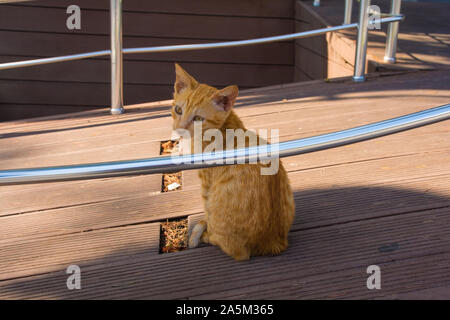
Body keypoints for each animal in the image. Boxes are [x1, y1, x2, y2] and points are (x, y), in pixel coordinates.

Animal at [171, 63, 294, 262]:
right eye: (178, 110)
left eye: (198, 118)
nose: (179, 130)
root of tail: (272, 244)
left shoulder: (207, 183)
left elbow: (207, 208)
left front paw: (206, 226)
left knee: (236, 252)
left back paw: (208, 236)